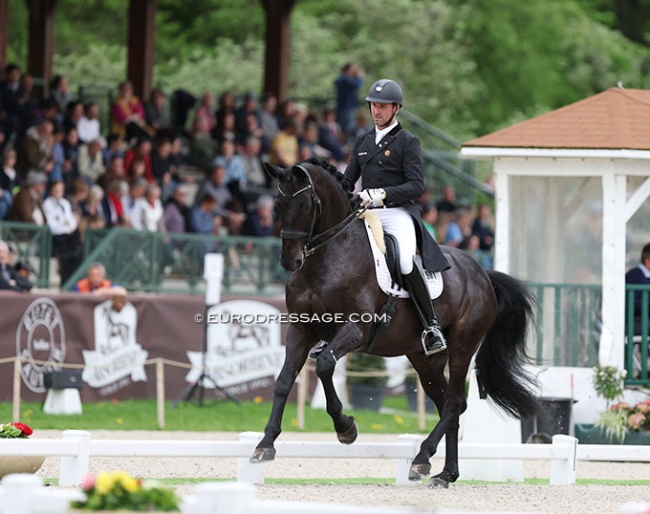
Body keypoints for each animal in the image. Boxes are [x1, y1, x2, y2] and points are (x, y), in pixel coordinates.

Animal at [249, 158, 536, 486]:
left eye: (305, 203)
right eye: (278, 203)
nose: (290, 261)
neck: (327, 257)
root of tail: (483, 274)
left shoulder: (356, 330)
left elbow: (323, 366)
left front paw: (346, 428)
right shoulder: (301, 329)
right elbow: (284, 380)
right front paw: (265, 445)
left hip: (463, 345)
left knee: (454, 403)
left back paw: (423, 458)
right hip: (424, 359)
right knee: (449, 405)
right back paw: (444, 473)